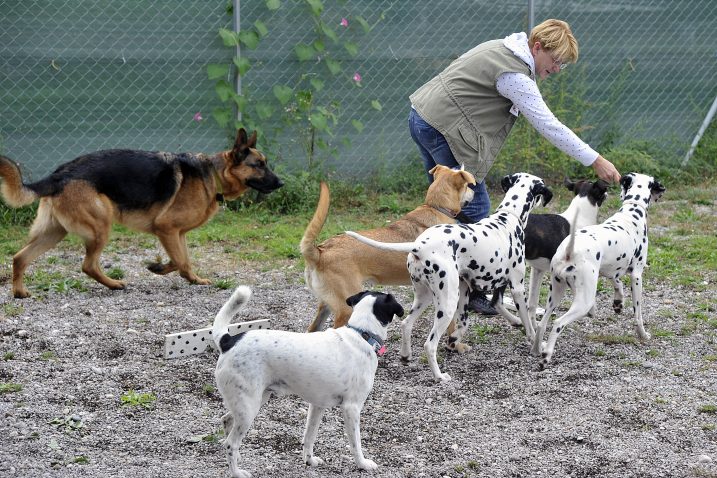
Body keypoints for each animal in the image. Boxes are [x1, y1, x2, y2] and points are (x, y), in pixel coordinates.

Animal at [1, 129, 284, 296]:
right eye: (259, 165)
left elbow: (185, 260)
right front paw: (161, 268)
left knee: (19, 258)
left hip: (53, 233)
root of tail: (58, 174)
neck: (213, 174)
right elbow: (180, 261)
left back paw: (20, 292)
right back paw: (114, 284)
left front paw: (189, 277)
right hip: (101, 226)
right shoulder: (166, 228)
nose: (281, 183)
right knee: (88, 265)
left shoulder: (178, 234)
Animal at [211, 286, 402, 476]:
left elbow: (310, 436)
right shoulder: (352, 408)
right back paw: (237, 472)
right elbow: (356, 443)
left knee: (227, 421)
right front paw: (362, 464)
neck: (361, 334)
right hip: (249, 408)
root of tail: (228, 341)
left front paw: (309, 460)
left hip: (251, 402)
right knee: (231, 443)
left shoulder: (317, 406)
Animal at [300, 166, 476, 330]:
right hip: (346, 309)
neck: (436, 207)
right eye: (467, 186)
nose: (474, 192)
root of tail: (321, 251)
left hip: (326, 306)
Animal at [344, 173, 552, 380]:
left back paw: (405, 355)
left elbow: (466, 322)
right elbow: (528, 321)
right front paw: (536, 343)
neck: (508, 218)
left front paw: (454, 339)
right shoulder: (517, 288)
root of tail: (419, 246)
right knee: (430, 344)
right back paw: (439, 376)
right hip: (447, 303)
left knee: (405, 324)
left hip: (426, 298)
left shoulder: (466, 288)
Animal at [532, 172, 664, 366]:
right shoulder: (637, 276)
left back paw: (536, 350)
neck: (632, 212)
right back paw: (546, 354)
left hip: (555, 294)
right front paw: (643, 334)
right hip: (583, 302)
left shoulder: (610, 269)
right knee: (558, 323)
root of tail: (569, 251)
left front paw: (618, 302)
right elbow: (638, 314)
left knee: (542, 323)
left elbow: (617, 282)